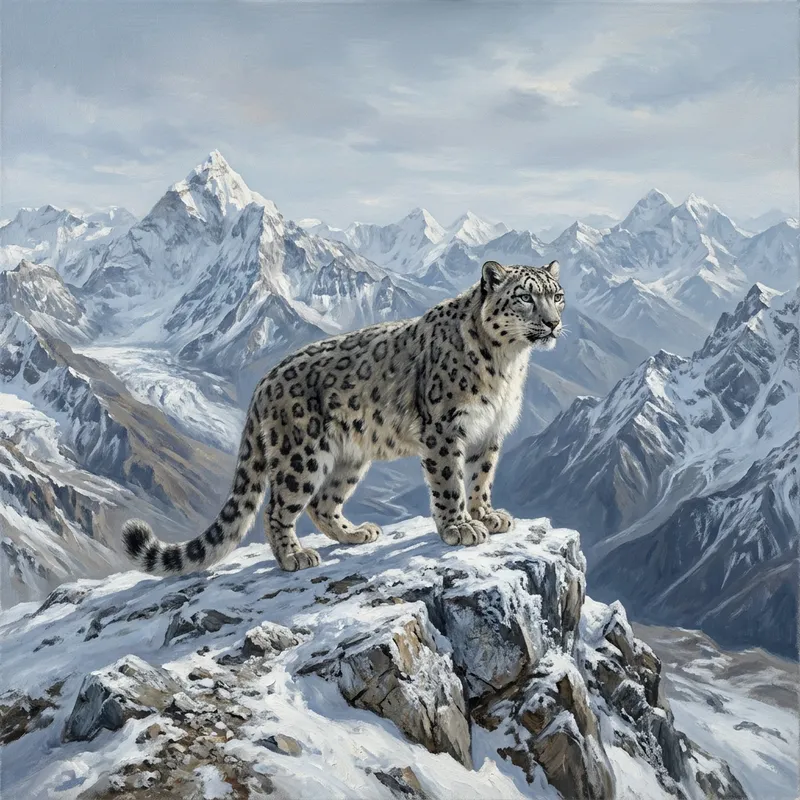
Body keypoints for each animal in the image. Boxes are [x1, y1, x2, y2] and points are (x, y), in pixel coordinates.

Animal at [122, 259, 565, 575]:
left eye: (557, 295)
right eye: (525, 298)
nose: (553, 322)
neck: (507, 365)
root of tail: (263, 383)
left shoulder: (489, 431)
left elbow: (480, 477)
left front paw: (487, 516)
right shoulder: (445, 428)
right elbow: (449, 482)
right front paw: (458, 527)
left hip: (350, 458)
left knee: (323, 503)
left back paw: (355, 535)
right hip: (300, 456)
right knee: (277, 509)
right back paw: (293, 557)